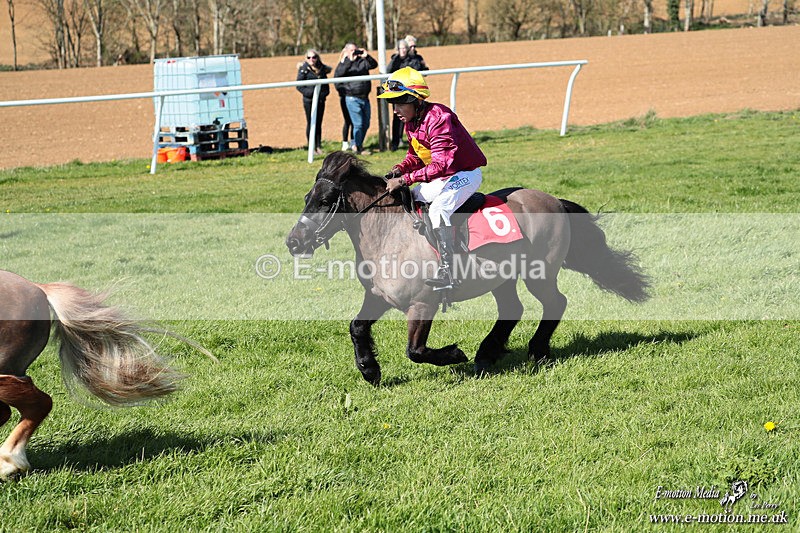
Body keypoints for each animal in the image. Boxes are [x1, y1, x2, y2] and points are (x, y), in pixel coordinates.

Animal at [286, 151, 650, 386]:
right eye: (306, 198)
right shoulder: (377, 297)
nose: (293, 242)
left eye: (324, 201)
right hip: (503, 277)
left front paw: (454, 354)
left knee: (555, 303)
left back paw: (536, 351)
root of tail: (554, 201)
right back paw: (488, 354)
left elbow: (415, 350)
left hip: (540, 273)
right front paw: (369, 369)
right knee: (512, 309)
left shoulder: (423, 304)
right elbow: (357, 327)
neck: (391, 233)